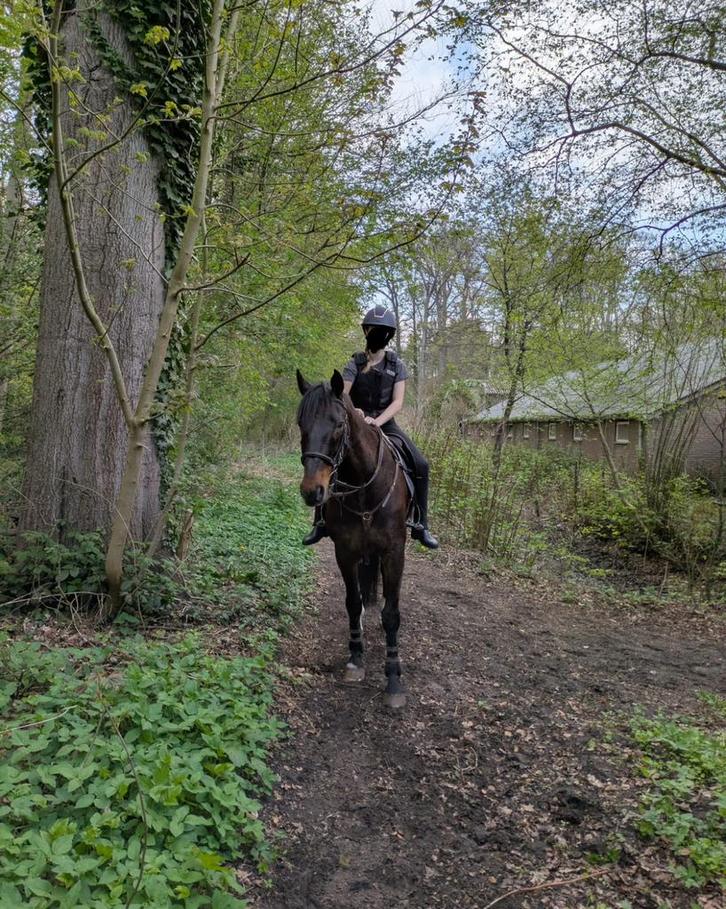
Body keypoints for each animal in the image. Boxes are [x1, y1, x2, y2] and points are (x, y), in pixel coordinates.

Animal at [296, 368, 411, 708]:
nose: (312, 491)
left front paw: (393, 679)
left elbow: (391, 614)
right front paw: (356, 660)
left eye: (338, 424)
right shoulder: (345, 551)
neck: (364, 485)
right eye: (301, 423)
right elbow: (352, 602)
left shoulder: (394, 552)